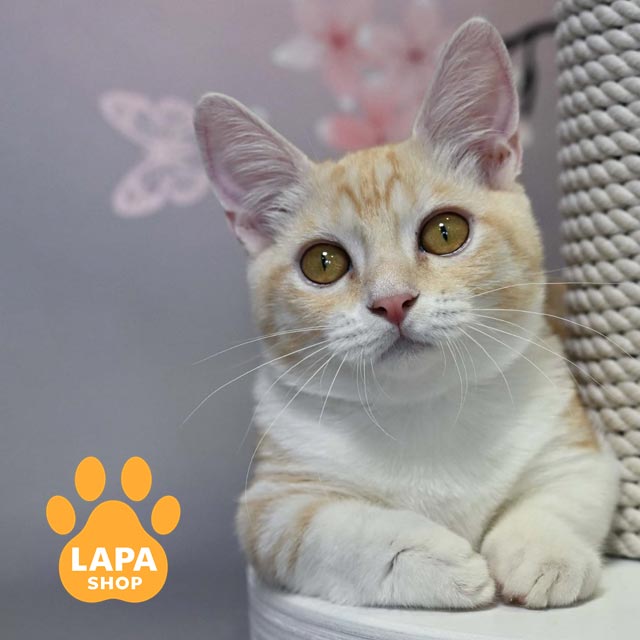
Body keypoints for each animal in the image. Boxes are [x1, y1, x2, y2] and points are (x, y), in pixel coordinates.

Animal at [193, 18, 619, 609]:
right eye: (322, 262)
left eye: (445, 232)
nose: (392, 301)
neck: (423, 408)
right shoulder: (271, 504)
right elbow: (333, 528)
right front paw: (433, 559)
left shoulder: (578, 447)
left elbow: (568, 492)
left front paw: (544, 552)